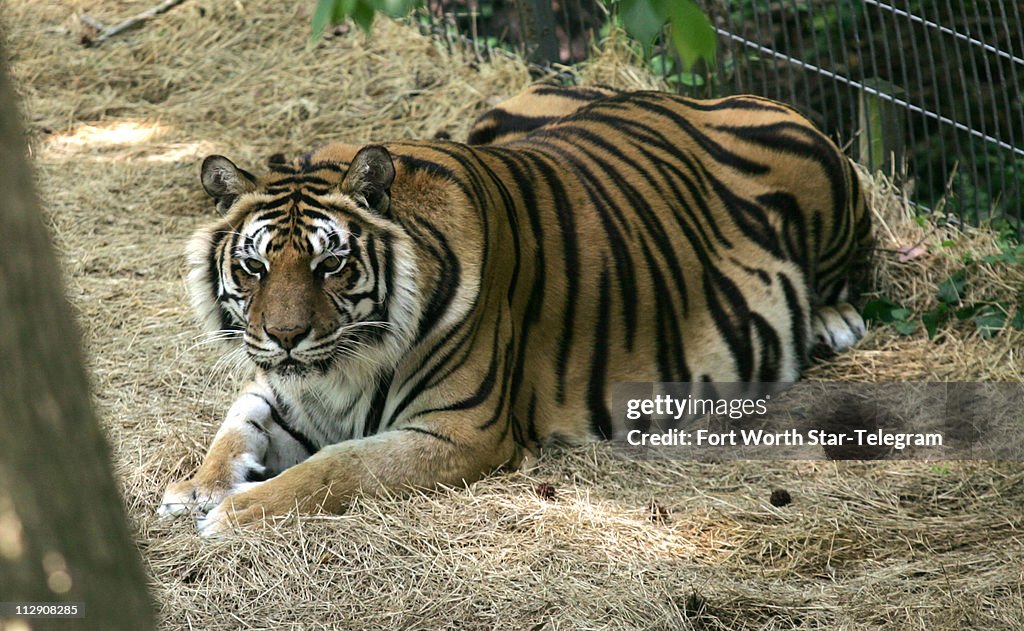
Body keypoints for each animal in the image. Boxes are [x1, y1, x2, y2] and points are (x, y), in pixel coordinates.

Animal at [159, 86, 872, 536]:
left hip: (829, 182)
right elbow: (236, 426)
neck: (340, 372)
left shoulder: (462, 431)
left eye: (329, 265)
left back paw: (835, 320)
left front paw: (234, 514)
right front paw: (197, 488)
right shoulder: (280, 389)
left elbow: (338, 467)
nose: (284, 337)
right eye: (254, 268)